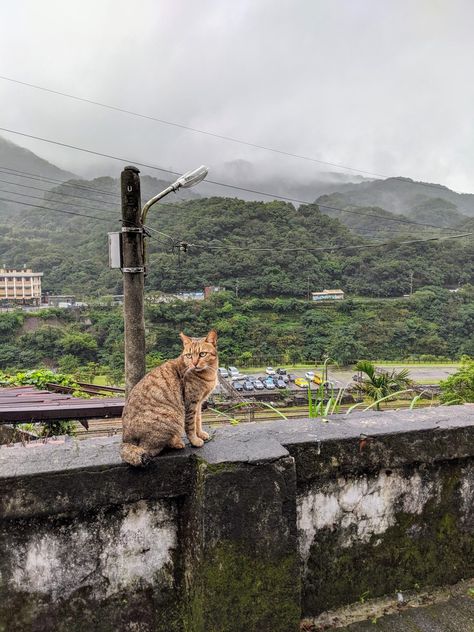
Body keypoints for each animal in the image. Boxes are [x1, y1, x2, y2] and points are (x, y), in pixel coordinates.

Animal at [121, 330, 219, 464]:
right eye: (189, 355)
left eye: (202, 354)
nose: (194, 364)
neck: (208, 373)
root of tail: (125, 440)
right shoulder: (191, 403)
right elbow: (190, 425)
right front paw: (195, 441)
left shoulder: (199, 403)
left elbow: (198, 421)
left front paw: (201, 434)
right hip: (172, 417)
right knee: (149, 449)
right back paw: (176, 443)